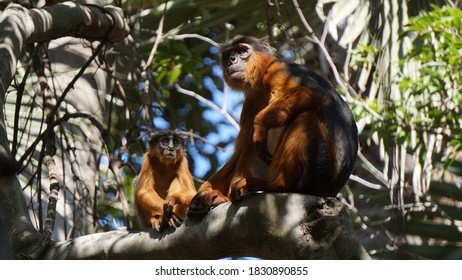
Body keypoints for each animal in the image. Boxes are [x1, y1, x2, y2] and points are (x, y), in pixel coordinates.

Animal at [187, 35, 358, 218]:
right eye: (228, 55)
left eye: (242, 50)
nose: (232, 60)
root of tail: (332, 190)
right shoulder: (252, 98)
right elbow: (242, 148)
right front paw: (204, 194)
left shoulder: (276, 70)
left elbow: (311, 94)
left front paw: (260, 124)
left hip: (319, 172)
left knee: (306, 115)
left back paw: (277, 184)